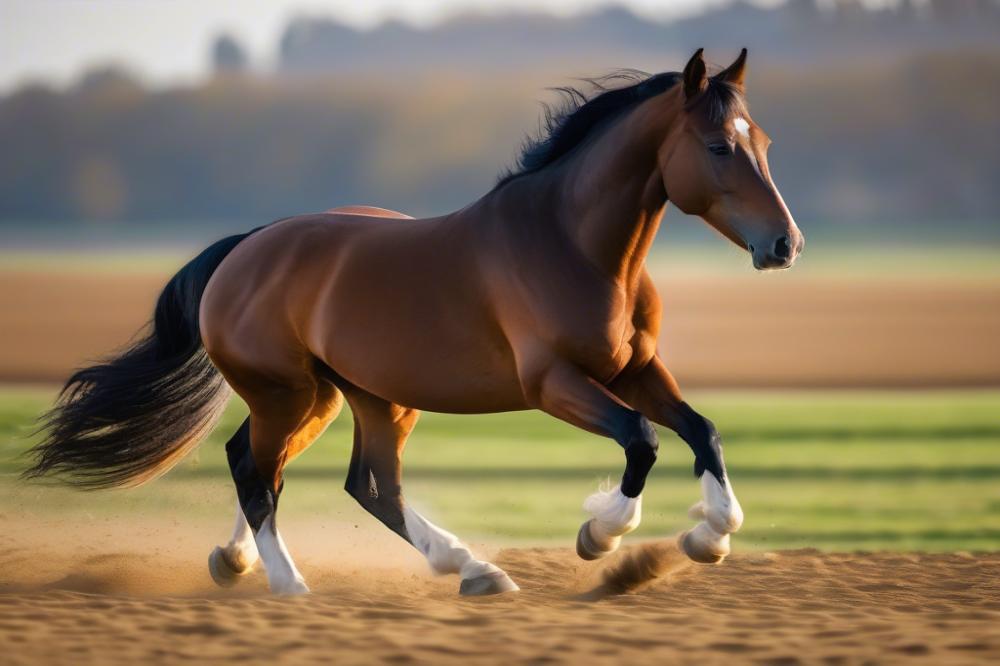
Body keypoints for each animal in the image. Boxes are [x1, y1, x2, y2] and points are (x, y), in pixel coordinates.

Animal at [26, 48, 803, 596]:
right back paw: (292, 583)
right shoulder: (555, 383)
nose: (785, 245)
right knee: (264, 474)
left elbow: (702, 431)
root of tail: (246, 247)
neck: (573, 244)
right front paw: (600, 535)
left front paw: (712, 537)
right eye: (718, 147)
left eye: (763, 140)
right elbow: (642, 441)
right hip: (291, 396)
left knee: (343, 481)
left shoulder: (635, 370)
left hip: (351, 397)